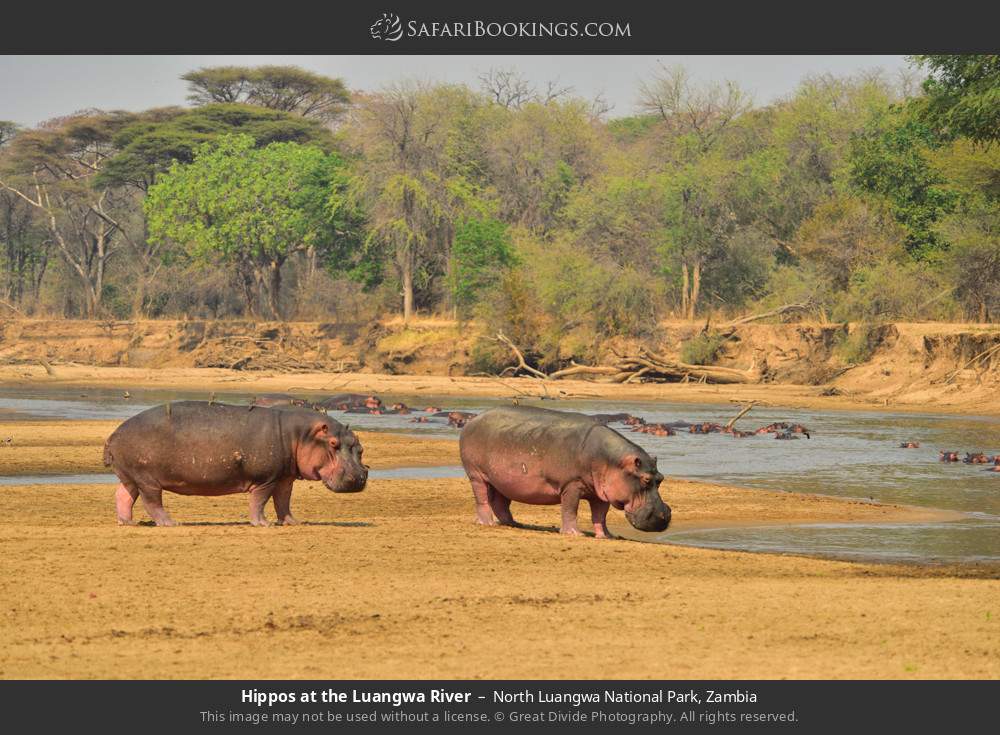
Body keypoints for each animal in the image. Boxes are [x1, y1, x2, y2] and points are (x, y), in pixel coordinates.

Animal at [103, 401, 368, 527]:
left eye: (359, 446)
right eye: (333, 443)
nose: (359, 477)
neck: (300, 434)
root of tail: (113, 434)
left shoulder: (284, 478)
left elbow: (283, 501)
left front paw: (293, 522)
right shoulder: (266, 479)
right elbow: (259, 501)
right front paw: (263, 524)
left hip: (130, 476)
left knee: (123, 495)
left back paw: (127, 522)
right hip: (147, 479)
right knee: (151, 502)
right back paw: (171, 523)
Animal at [458, 406, 671, 538]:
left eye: (660, 479)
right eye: (645, 479)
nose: (663, 516)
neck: (613, 461)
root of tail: (474, 419)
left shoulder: (601, 493)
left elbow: (600, 516)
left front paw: (606, 536)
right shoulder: (571, 484)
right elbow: (570, 509)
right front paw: (574, 533)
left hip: (502, 480)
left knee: (501, 502)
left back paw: (513, 523)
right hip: (476, 474)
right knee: (482, 498)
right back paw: (487, 523)